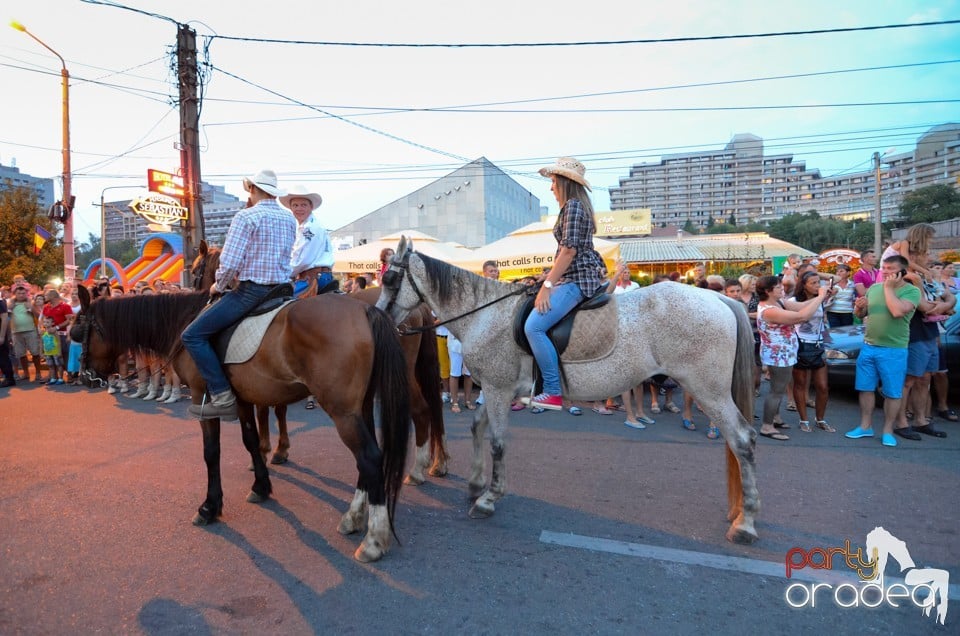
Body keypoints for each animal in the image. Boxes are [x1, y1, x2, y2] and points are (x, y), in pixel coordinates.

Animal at [71, 284, 408, 560]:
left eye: (77, 332)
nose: (86, 377)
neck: (184, 323)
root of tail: (364, 309)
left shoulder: (201, 395)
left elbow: (211, 453)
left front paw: (210, 506)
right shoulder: (244, 399)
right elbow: (251, 442)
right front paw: (261, 486)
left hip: (342, 412)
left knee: (369, 457)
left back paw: (374, 540)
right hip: (360, 407)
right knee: (367, 459)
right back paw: (354, 517)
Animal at [193, 241, 452, 484]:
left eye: (195, 269)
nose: (205, 293)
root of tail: (417, 307)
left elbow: (266, 411)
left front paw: (267, 452)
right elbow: (278, 408)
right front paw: (279, 450)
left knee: (420, 410)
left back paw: (417, 471)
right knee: (430, 409)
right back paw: (437, 464)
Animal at [378, 236, 760, 544]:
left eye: (390, 278)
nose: (381, 317)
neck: (487, 314)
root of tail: (720, 300)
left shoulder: (498, 390)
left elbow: (498, 443)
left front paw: (488, 498)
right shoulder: (495, 388)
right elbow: (476, 428)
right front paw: (474, 485)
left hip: (709, 391)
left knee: (742, 439)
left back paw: (746, 523)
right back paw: (741, 511)